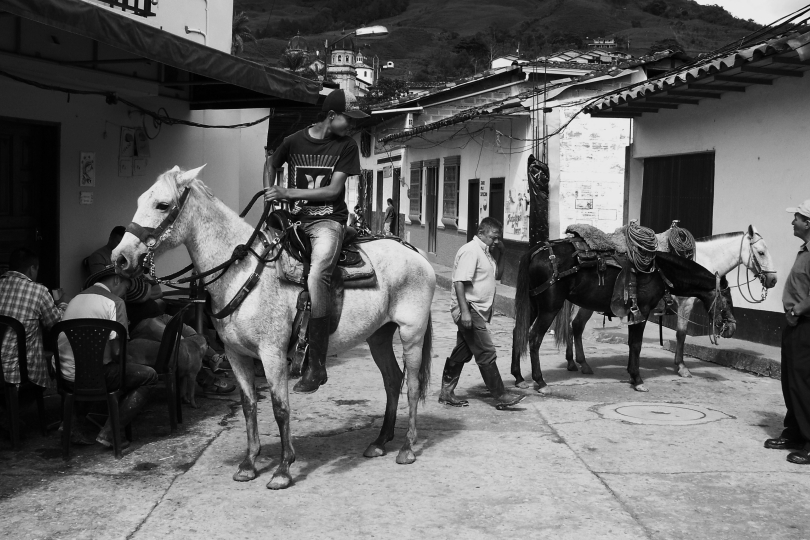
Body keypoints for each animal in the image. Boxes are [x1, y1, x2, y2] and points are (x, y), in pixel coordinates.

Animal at [113, 167, 436, 492]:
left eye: (162, 205)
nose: (120, 258)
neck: (242, 271)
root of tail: (414, 252)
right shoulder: (236, 355)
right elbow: (249, 405)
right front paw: (248, 463)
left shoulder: (272, 355)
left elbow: (280, 408)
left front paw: (283, 469)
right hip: (378, 336)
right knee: (393, 380)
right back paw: (380, 442)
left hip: (411, 333)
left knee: (412, 385)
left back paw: (407, 448)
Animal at [512, 242, 740, 392]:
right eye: (728, 300)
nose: (731, 327)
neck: (660, 271)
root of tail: (537, 250)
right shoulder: (644, 311)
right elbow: (637, 345)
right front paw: (638, 379)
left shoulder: (635, 313)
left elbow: (632, 344)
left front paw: (632, 375)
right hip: (549, 308)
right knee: (534, 338)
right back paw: (540, 382)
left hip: (534, 306)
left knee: (519, 333)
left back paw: (519, 377)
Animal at [548, 224, 776, 380]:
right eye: (761, 252)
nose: (773, 280)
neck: (699, 261)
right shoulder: (686, 304)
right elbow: (681, 334)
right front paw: (682, 367)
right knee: (576, 327)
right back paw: (582, 363)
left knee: (573, 327)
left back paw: (573, 362)